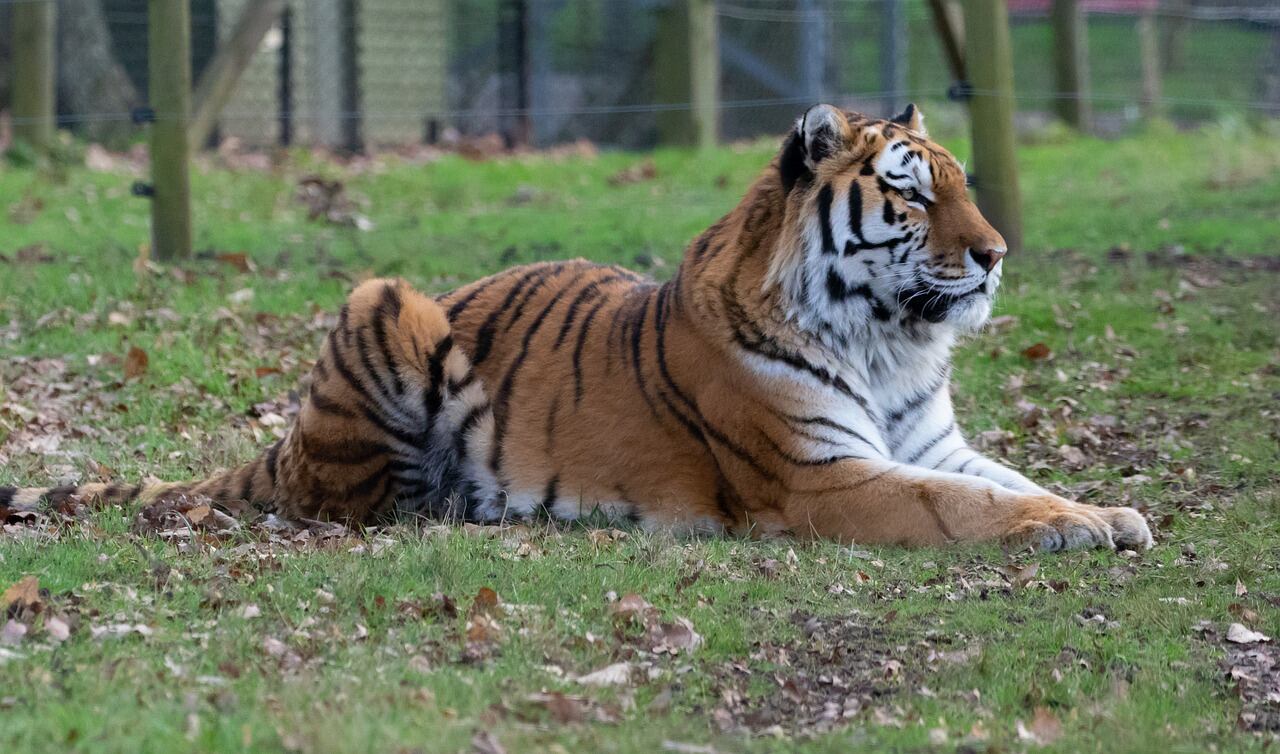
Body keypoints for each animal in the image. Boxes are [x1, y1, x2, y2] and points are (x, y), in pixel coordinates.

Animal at [1, 103, 1152, 553]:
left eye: (962, 187)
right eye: (912, 195)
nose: (995, 253)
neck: (887, 341)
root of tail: (278, 445)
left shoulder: (932, 440)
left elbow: (1005, 479)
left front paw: (1105, 510)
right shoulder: (820, 476)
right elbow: (960, 507)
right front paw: (1076, 526)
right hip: (385, 300)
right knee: (337, 501)